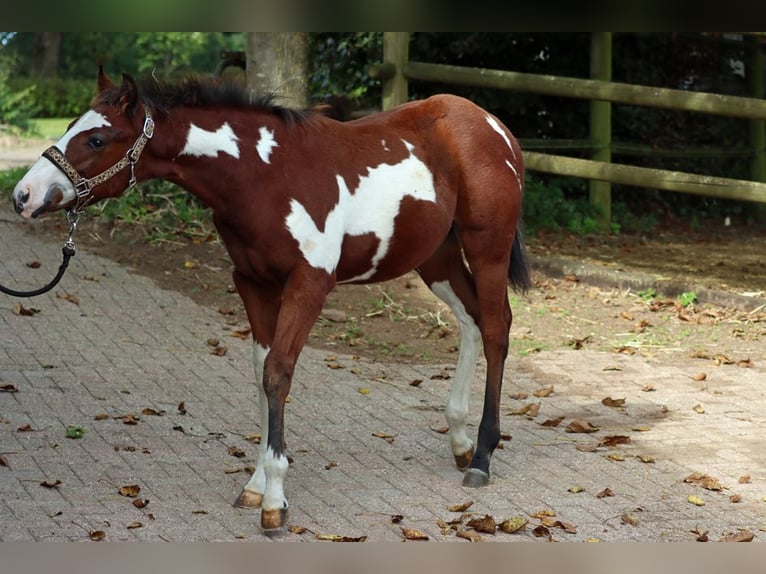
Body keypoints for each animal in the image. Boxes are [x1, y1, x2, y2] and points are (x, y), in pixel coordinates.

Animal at [12, 70, 532, 532]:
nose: (23, 195)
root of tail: (494, 125)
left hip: (487, 247)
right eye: (70, 126)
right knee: (470, 320)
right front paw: (257, 484)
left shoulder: (309, 284)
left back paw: (482, 455)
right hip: (436, 255)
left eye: (98, 139)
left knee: (495, 326)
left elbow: (278, 372)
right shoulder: (253, 282)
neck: (264, 175)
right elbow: (260, 370)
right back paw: (459, 440)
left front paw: (276, 502)